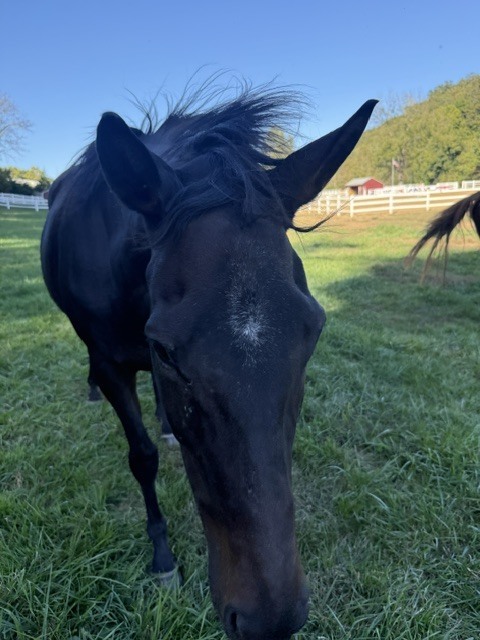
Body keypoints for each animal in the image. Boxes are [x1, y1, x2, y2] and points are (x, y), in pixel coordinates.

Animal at [40, 84, 376, 640]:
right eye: (165, 349)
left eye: (314, 331)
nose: (269, 620)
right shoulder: (114, 364)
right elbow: (141, 457)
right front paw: (162, 557)